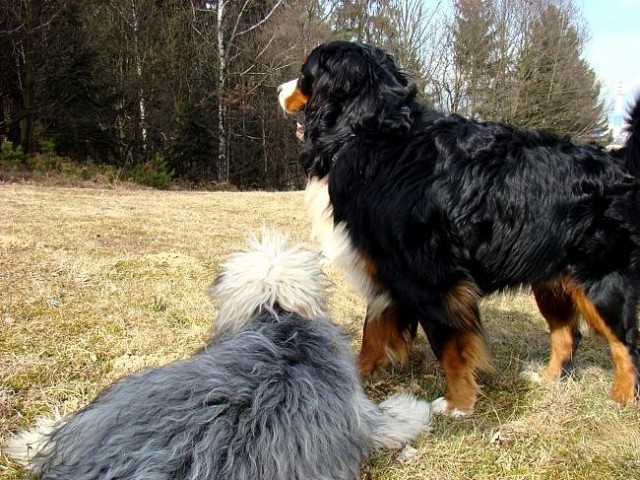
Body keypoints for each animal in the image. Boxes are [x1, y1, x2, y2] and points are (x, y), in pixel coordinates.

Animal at [278, 40, 640, 412]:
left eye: (305, 74)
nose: (279, 88)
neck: (373, 132)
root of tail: (616, 162)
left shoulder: (432, 280)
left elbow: (450, 345)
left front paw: (457, 403)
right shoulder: (386, 270)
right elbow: (373, 330)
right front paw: (355, 380)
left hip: (599, 276)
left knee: (624, 342)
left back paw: (622, 397)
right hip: (551, 276)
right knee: (567, 334)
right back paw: (548, 379)